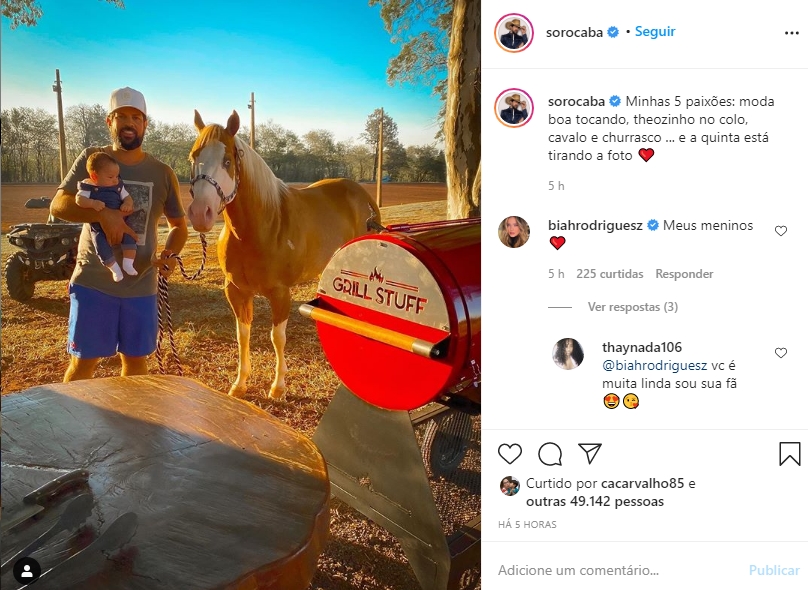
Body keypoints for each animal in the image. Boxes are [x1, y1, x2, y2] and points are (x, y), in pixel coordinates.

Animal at [187, 110, 381, 399]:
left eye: (227, 160)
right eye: (193, 156)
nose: (201, 213)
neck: (260, 228)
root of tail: (365, 198)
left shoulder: (280, 293)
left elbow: (277, 338)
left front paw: (278, 387)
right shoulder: (236, 291)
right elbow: (242, 335)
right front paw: (240, 384)